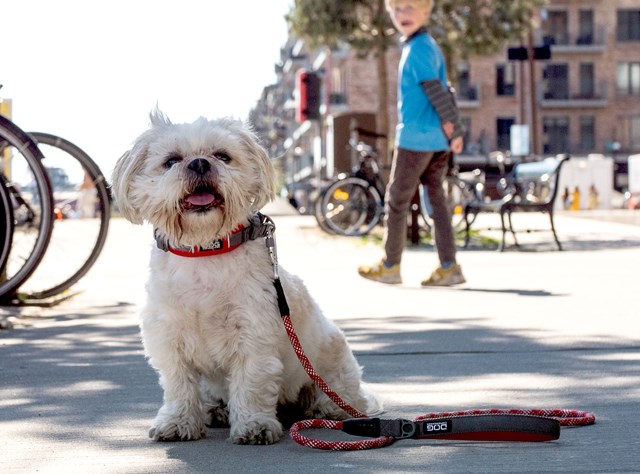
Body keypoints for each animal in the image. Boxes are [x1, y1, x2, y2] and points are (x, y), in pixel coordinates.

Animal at [112, 111, 382, 444]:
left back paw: (328, 408)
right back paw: (215, 409)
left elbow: (251, 382)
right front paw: (178, 422)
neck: (205, 249)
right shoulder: (169, 335)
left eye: (222, 156)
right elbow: (179, 386)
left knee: (336, 396)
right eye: (171, 160)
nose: (199, 163)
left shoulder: (253, 334)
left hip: (332, 369)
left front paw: (254, 425)